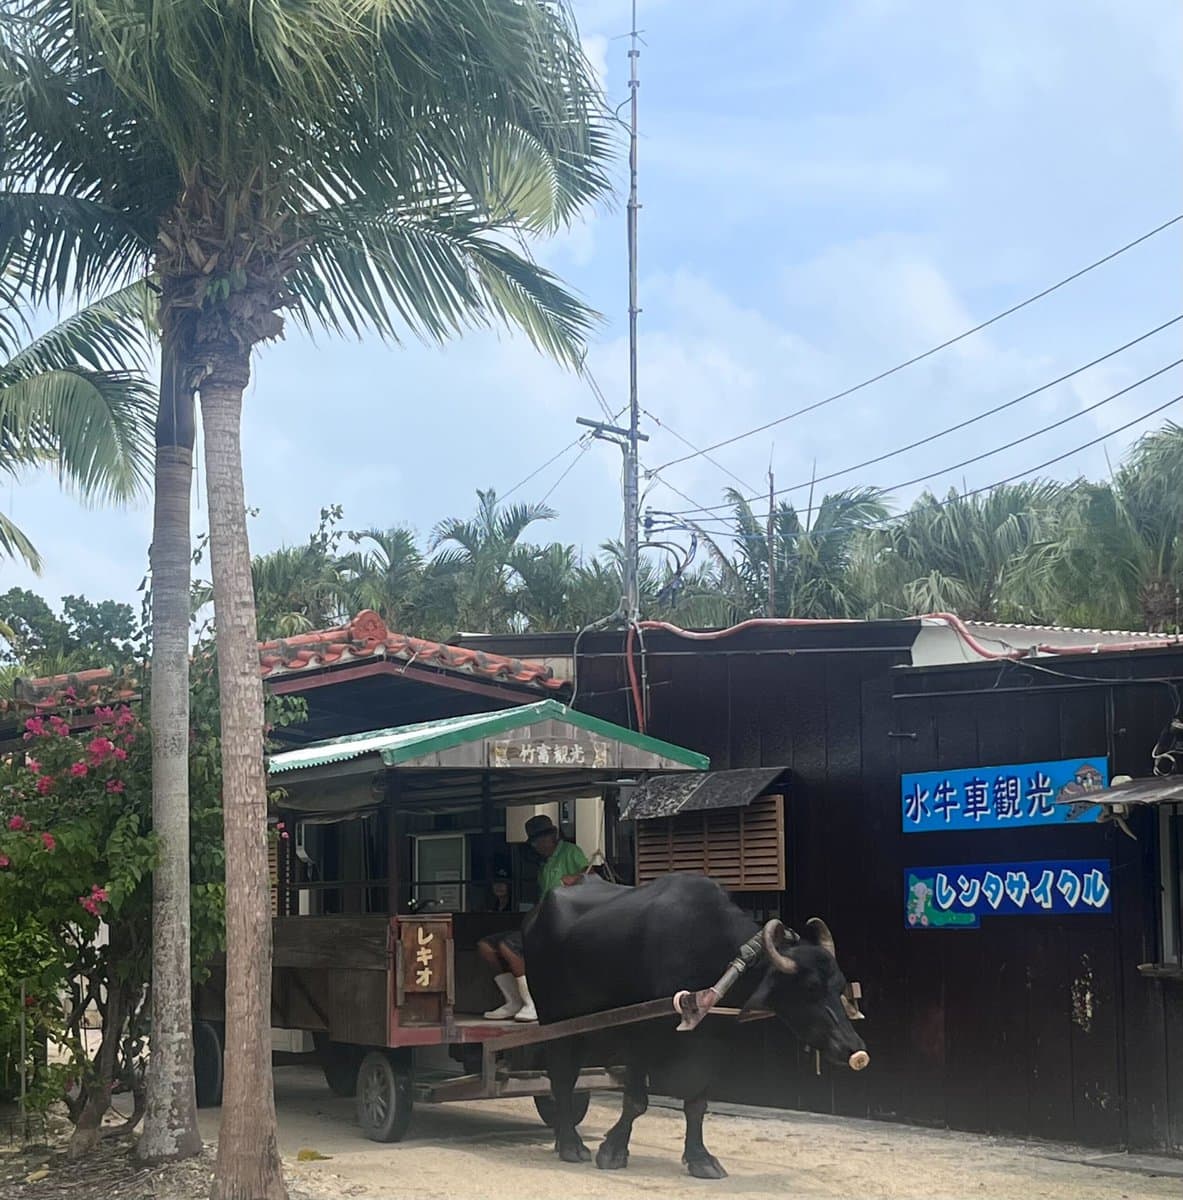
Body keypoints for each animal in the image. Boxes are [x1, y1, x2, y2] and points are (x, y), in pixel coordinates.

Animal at [520, 868, 863, 1176]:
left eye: (838, 986)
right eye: (809, 989)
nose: (854, 1050)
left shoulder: (712, 1043)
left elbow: (697, 1104)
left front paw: (701, 1159)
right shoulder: (639, 1036)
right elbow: (636, 1101)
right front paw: (613, 1151)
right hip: (556, 1019)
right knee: (561, 1079)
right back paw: (570, 1144)